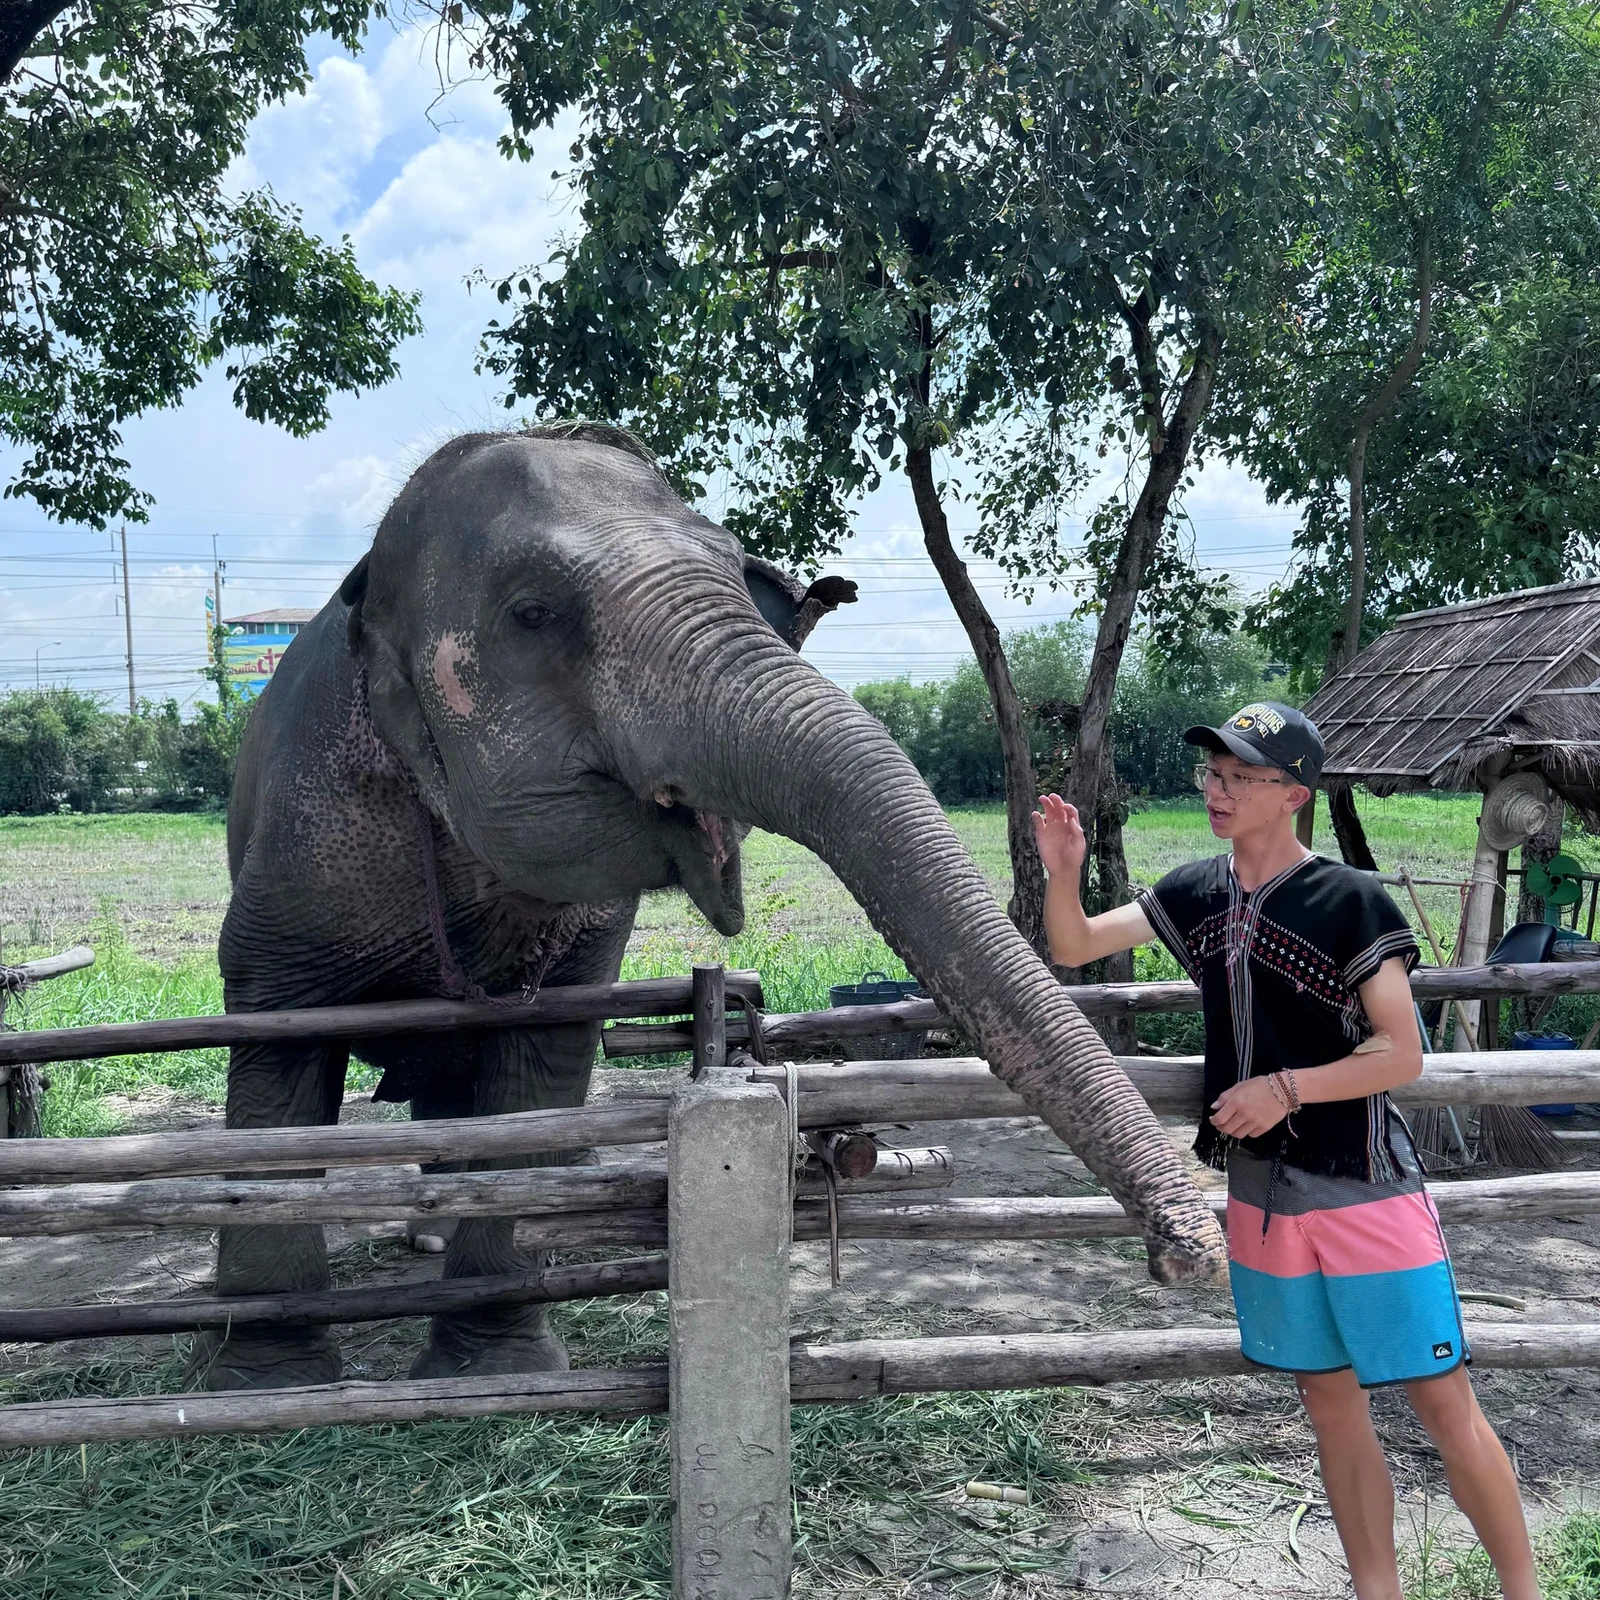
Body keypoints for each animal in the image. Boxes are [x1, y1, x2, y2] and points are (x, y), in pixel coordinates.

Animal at [205, 422, 1225, 1391]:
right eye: (533, 615)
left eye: (736, 575)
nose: (1189, 1258)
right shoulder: (299, 855)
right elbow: (276, 1058)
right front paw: (270, 1376)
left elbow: (541, 1069)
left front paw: (495, 1366)